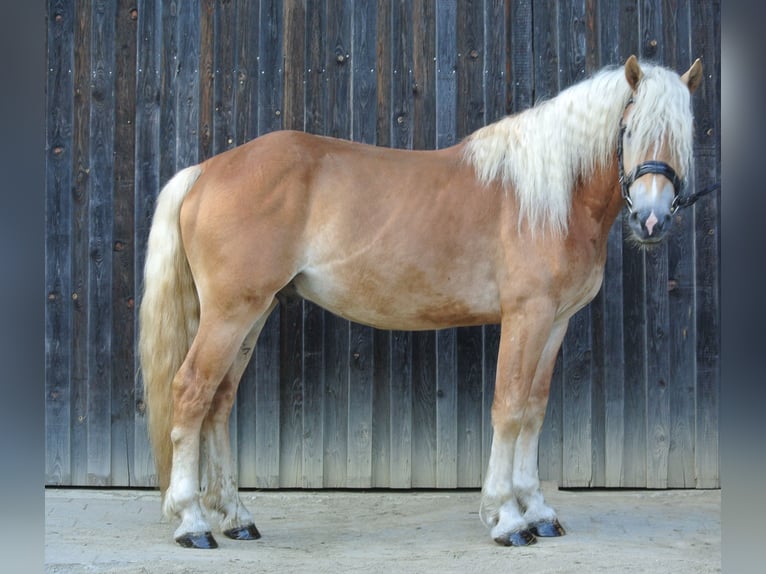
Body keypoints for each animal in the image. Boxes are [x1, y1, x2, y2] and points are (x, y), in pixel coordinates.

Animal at [141, 56, 704, 552]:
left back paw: (237, 518)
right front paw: (506, 518)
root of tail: (206, 170)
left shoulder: (556, 323)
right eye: (628, 130)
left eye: (685, 136)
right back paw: (193, 523)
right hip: (230, 314)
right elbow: (508, 408)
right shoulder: (527, 316)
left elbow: (534, 410)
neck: (550, 199)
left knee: (218, 403)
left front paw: (539, 511)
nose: (652, 220)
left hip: (254, 314)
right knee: (190, 394)